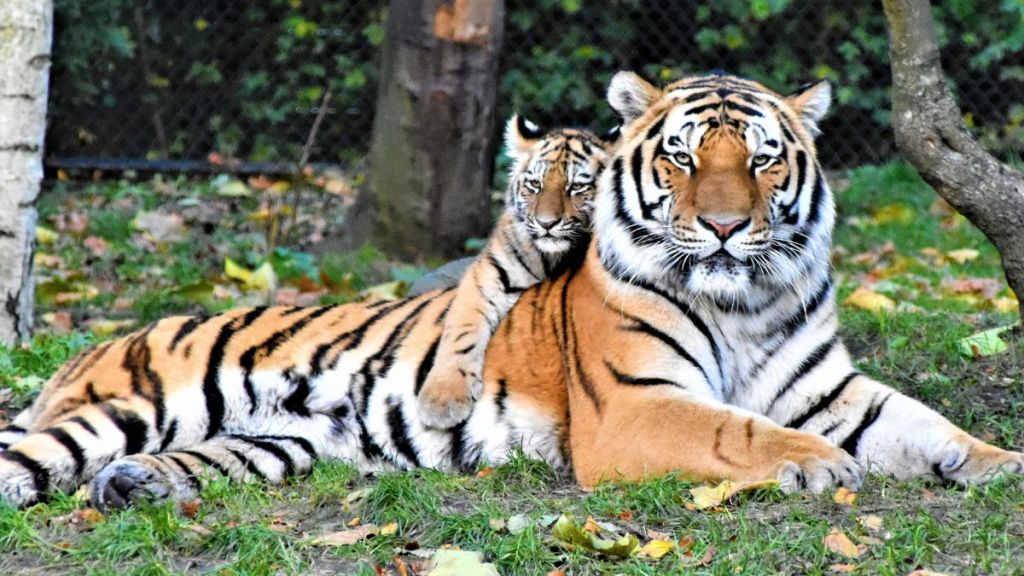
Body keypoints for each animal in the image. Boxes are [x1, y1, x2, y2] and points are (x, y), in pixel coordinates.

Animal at [0, 71, 1019, 506]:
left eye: (764, 160)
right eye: (686, 158)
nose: (729, 227)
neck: (747, 301)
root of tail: (91, 350)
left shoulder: (830, 388)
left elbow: (929, 425)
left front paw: (1000, 464)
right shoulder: (636, 406)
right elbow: (739, 430)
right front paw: (817, 463)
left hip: (277, 443)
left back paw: (135, 487)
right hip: (125, 407)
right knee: (35, 456)